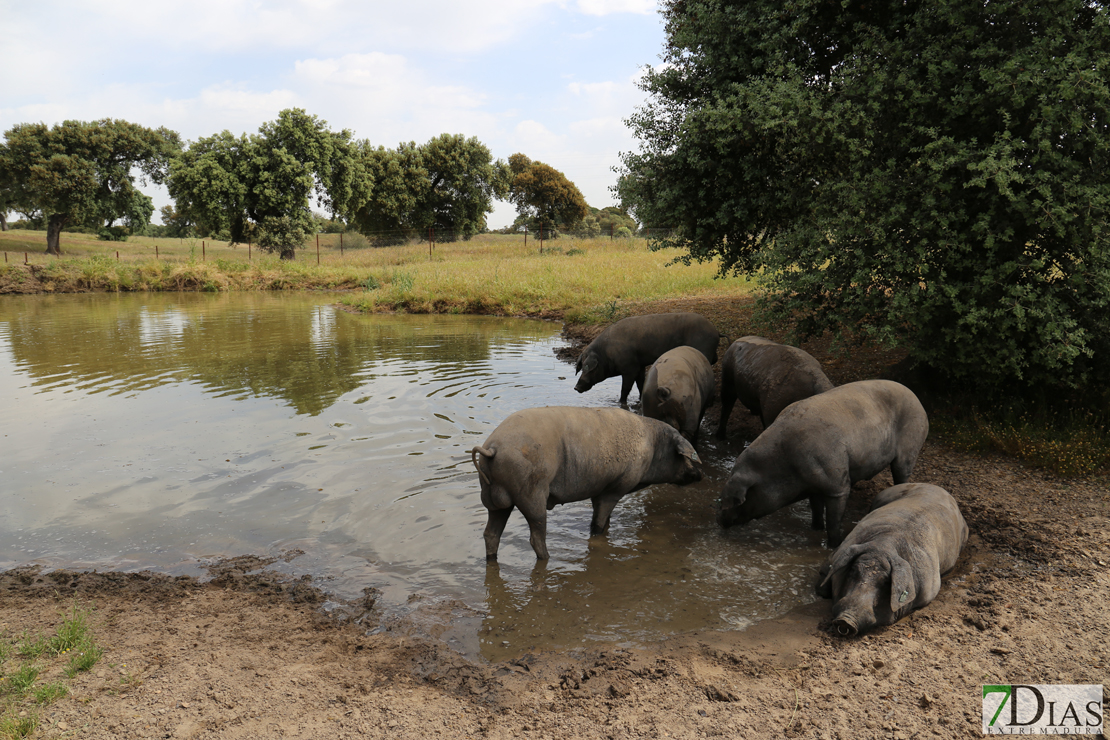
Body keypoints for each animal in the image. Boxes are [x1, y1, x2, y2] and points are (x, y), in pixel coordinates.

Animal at [470, 406, 701, 561]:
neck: (653, 447)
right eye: (685, 457)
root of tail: (492, 448)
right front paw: (597, 535)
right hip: (532, 495)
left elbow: (604, 519)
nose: (700, 474)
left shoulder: (600, 489)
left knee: (491, 534)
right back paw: (548, 559)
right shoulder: (617, 487)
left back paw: (491, 560)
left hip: (495, 501)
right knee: (536, 536)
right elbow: (597, 524)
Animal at [572, 312, 719, 406]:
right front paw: (639, 400)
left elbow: (625, 388)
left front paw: (621, 403)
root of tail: (716, 331)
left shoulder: (630, 368)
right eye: (581, 367)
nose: (576, 387)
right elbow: (640, 384)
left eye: (588, 368)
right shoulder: (640, 366)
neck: (606, 353)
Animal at [719, 381, 927, 550]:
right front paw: (815, 529)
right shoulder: (813, 485)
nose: (719, 521)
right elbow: (816, 508)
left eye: (738, 499)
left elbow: (834, 519)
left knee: (902, 472)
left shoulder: (837, 484)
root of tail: (919, 403)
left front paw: (832, 546)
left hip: (910, 445)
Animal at [812, 485, 967, 639]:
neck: (883, 545)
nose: (846, 621)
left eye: (886, 582)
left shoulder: (929, 591)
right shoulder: (836, 554)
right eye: (853, 571)